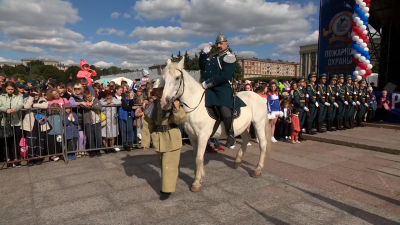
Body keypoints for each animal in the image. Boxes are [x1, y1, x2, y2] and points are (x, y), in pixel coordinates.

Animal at [159, 58, 272, 192]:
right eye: (164, 78)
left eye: (177, 78)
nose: (164, 102)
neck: (195, 104)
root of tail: (258, 96)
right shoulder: (192, 136)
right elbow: (197, 156)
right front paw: (200, 176)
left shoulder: (203, 136)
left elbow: (198, 158)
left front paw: (196, 183)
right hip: (241, 126)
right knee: (246, 138)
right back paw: (237, 161)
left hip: (258, 123)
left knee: (263, 144)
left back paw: (257, 170)